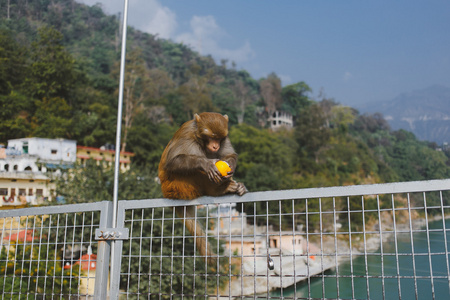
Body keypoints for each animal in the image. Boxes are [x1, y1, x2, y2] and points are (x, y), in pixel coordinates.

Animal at [159, 112, 246, 264]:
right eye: (211, 137)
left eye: (218, 138)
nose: (216, 146)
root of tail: (166, 193)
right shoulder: (187, 133)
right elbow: (173, 161)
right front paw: (206, 164)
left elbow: (229, 154)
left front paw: (230, 164)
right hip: (178, 186)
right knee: (193, 167)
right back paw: (219, 190)